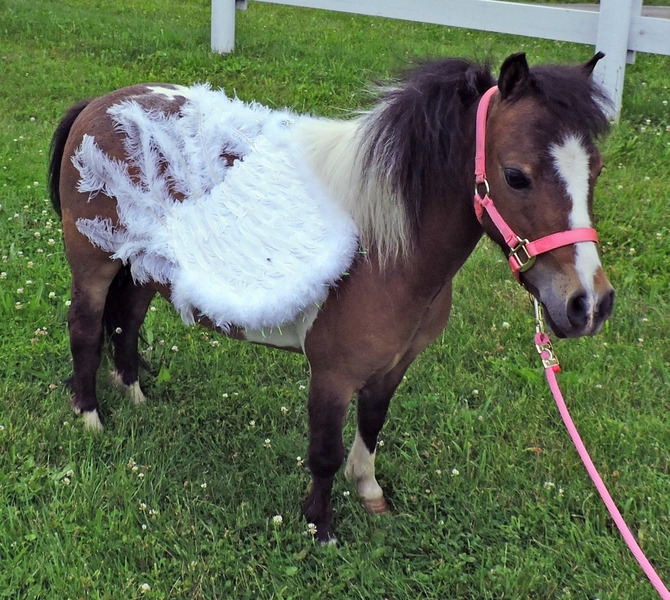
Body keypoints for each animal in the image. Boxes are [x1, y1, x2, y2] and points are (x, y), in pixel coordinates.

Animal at [49, 52, 615, 543]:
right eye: (516, 176)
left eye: (597, 169)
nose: (588, 304)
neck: (385, 248)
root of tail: (100, 105)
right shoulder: (332, 374)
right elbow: (324, 451)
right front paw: (320, 526)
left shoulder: (392, 366)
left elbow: (372, 424)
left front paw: (369, 491)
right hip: (95, 265)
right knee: (86, 328)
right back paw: (91, 416)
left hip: (143, 268)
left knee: (126, 320)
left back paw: (135, 395)